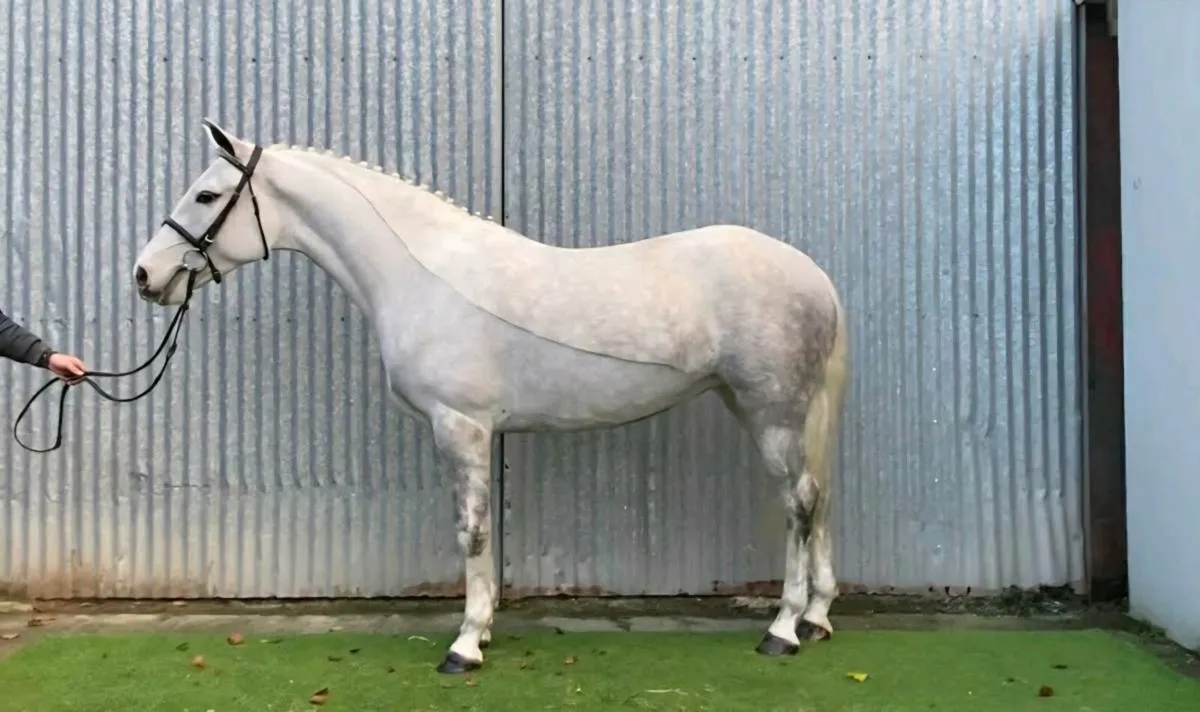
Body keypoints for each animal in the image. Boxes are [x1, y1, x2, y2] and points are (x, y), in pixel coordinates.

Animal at [132, 119, 850, 674]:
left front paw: (466, 644)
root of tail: (812, 274)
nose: (145, 274)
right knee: (814, 499)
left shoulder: (460, 425)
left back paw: (783, 630)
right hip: (756, 406)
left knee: (799, 503)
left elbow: (471, 530)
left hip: (772, 411)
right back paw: (816, 619)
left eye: (206, 194)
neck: (423, 272)